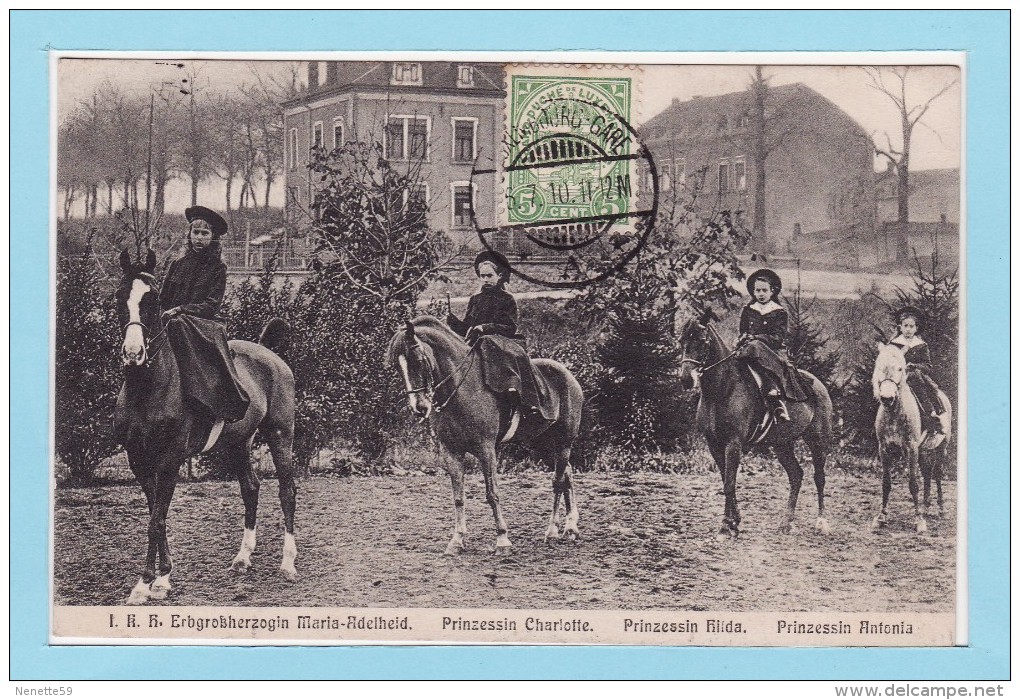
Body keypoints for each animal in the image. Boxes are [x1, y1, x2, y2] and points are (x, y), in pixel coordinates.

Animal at [117, 251, 297, 604]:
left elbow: (156, 521)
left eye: (152, 300)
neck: (148, 388)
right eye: (119, 297)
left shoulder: (169, 461)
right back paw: (243, 557)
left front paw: (153, 582)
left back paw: (288, 563)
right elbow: (155, 516)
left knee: (287, 491)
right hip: (239, 443)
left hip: (281, 435)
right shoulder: (139, 461)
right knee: (250, 487)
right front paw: (156, 579)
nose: (133, 354)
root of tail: (270, 353)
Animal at [387, 316, 583, 555]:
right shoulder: (451, 452)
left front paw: (502, 539)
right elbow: (458, 497)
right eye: (397, 367)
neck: (462, 390)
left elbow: (492, 494)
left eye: (417, 360)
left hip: (563, 443)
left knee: (557, 481)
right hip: (542, 446)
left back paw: (553, 531)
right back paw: (571, 527)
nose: (419, 408)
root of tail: (568, 374)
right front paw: (457, 540)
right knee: (567, 474)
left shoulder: (486, 449)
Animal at [677, 316, 836, 538]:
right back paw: (786, 523)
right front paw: (735, 522)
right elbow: (726, 480)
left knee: (819, 478)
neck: (723, 389)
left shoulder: (733, 444)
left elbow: (729, 484)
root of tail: (818, 385)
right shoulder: (714, 444)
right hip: (781, 444)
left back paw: (821, 522)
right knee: (796, 475)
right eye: (681, 341)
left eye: (701, 341)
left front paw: (726, 526)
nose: (685, 379)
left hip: (818, 441)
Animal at [873, 342, 950, 534]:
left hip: (941, 448)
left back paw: (941, 509)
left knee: (937, 474)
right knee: (928, 473)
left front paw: (919, 521)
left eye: (900, 368)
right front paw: (881, 518)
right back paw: (925, 507)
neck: (894, 413)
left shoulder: (911, 448)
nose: (887, 398)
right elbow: (886, 483)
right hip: (923, 451)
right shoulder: (884, 449)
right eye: (879, 367)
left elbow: (913, 484)